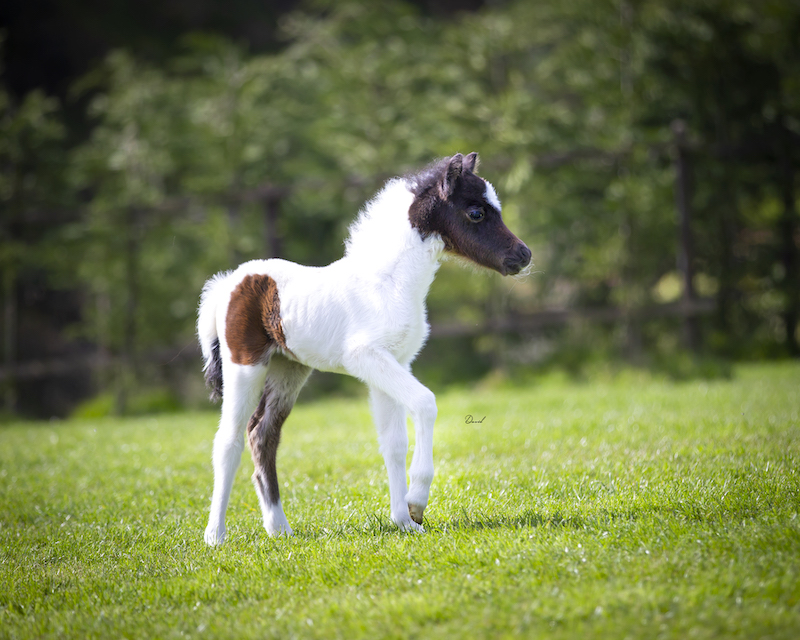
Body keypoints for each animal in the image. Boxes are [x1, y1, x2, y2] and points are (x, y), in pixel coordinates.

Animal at [198, 152, 531, 545]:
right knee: (229, 440)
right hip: (244, 366)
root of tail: (228, 283)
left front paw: (405, 521)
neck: (389, 283)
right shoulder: (367, 358)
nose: (523, 254)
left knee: (262, 434)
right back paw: (215, 536)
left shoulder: (394, 363)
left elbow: (394, 442)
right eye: (476, 212)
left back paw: (279, 529)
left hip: (288, 370)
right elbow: (425, 403)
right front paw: (417, 502)